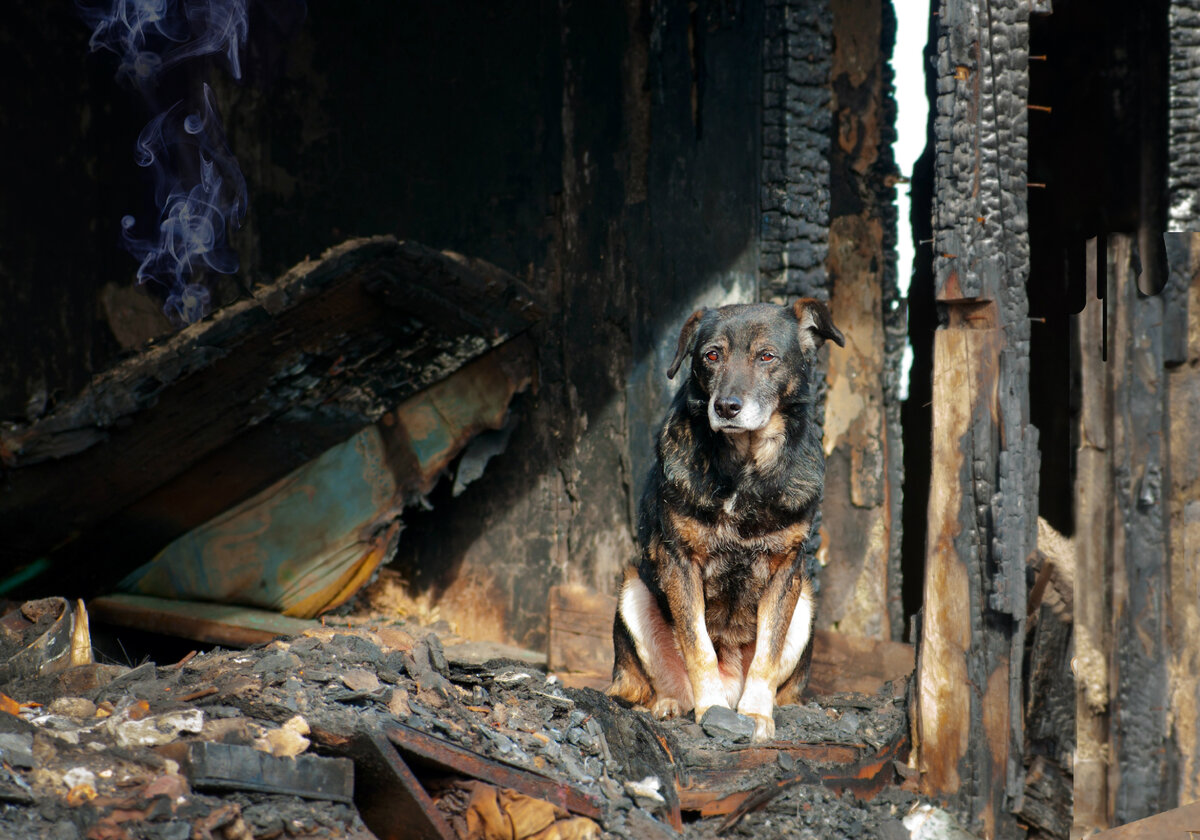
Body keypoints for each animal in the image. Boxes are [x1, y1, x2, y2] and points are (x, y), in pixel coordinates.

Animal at [607, 299, 844, 742]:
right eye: (711, 356)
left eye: (767, 357)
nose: (726, 407)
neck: (744, 470)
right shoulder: (678, 563)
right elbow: (697, 644)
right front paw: (712, 709)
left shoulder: (787, 570)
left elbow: (767, 653)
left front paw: (755, 714)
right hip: (632, 591)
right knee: (643, 689)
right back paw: (671, 705)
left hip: (805, 603)